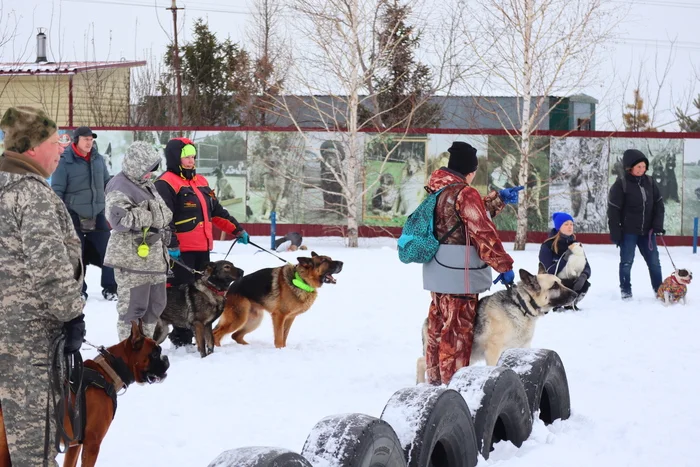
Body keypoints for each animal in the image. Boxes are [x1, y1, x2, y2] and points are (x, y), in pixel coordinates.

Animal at [213, 254, 344, 350]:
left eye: (330, 258)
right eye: (324, 260)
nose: (342, 263)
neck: (302, 279)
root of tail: (229, 289)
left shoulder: (289, 318)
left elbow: (284, 335)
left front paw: (284, 350)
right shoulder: (279, 316)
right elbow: (279, 337)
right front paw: (279, 349)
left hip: (254, 320)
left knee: (235, 335)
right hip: (238, 318)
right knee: (216, 334)